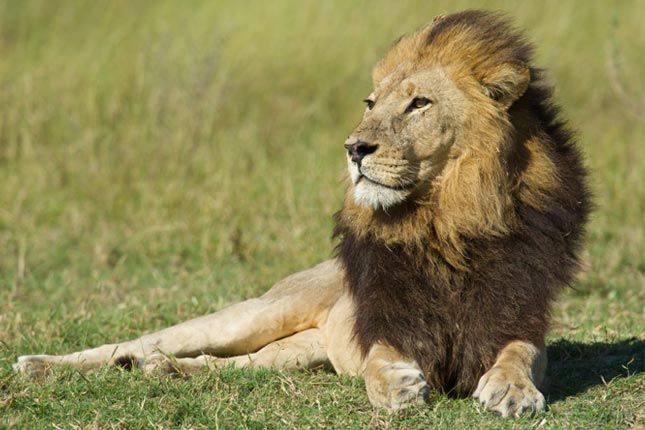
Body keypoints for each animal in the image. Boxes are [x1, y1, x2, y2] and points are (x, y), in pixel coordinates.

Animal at [13, 11, 590, 418]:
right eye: (371, 103)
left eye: (420, 103)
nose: (354, 149)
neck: (447, 220)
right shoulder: (386, 323)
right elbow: (380, 362)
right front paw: (396, 386)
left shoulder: (518, 314)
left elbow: (520, 353)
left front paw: (513, 390)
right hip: (255, 314)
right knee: (136, 341)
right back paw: (40, 364)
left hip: (294, 351)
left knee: (233, 365)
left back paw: (170, 373)